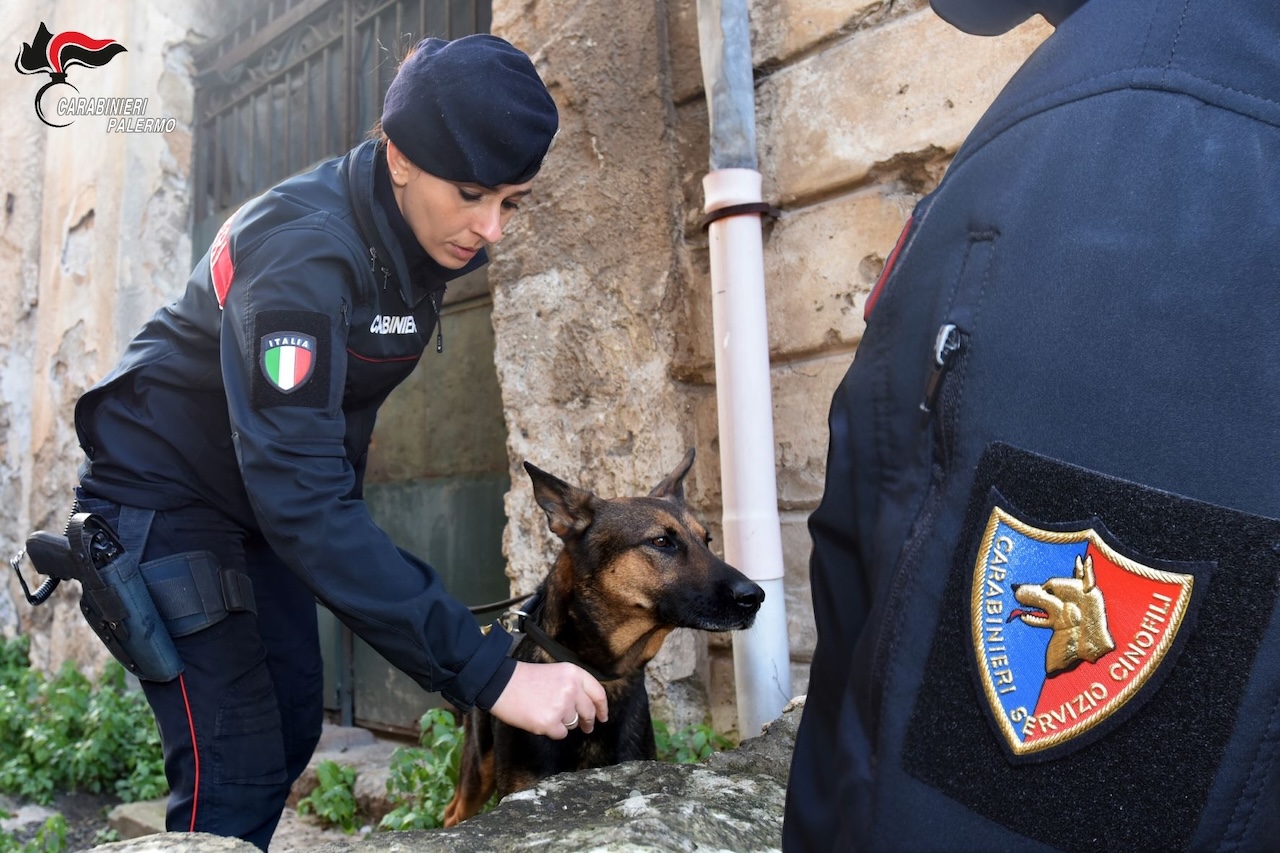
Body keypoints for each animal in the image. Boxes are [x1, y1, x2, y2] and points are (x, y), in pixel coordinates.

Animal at [442, 445, 757, 824]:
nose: (756, 597)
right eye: (661, 541)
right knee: (453, 812)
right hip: (479, 767)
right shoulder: (524, 791)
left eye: (707, 540)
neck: (599, 673)